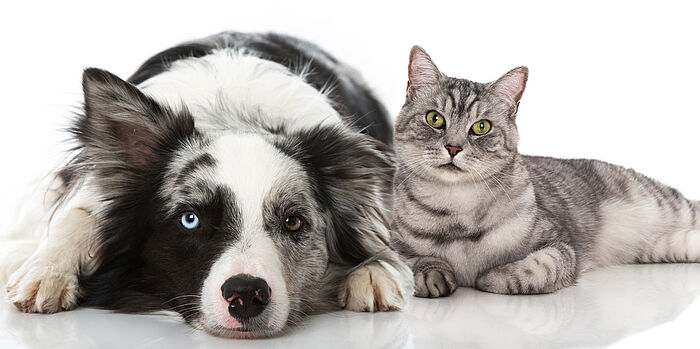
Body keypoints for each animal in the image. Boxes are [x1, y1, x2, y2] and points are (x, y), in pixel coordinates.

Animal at [2, 32, 412, 338]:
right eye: (190, 219)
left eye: (293, 222)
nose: (245, 295)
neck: (233, 116)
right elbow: (78, 214)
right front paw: (47, 270)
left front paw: (376, 269)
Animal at [392, 44, 700, 296]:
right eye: (435, 119)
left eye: (481, 127)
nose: (454, 148)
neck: (457, 209)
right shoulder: (390, 241)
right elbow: (412, 260)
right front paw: (432, 274)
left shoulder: (561, 245)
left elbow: (537, 267)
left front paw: (491, 276)